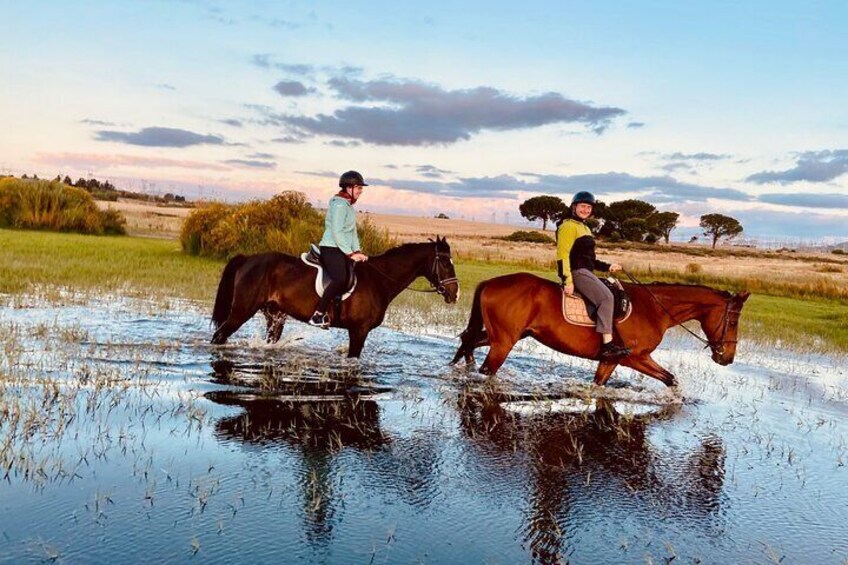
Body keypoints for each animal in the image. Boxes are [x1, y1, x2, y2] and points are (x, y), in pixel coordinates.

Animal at [212, 236, 460, 354]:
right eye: (446, 263)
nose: (455, 294)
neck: (379, 279)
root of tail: (248, 259)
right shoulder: (359, 331)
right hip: (242, 311)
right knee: (219, 336)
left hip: (275, 316)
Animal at [450, 274, 748, 388]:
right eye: (733, 322)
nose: (727, 357)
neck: (655, 308)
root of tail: (491, 282)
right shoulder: (634, 358)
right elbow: (670, 380)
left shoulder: (611, 360)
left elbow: (599, 384)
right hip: (504, 342)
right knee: (486, 367)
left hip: (504, 336)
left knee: (469, 342)